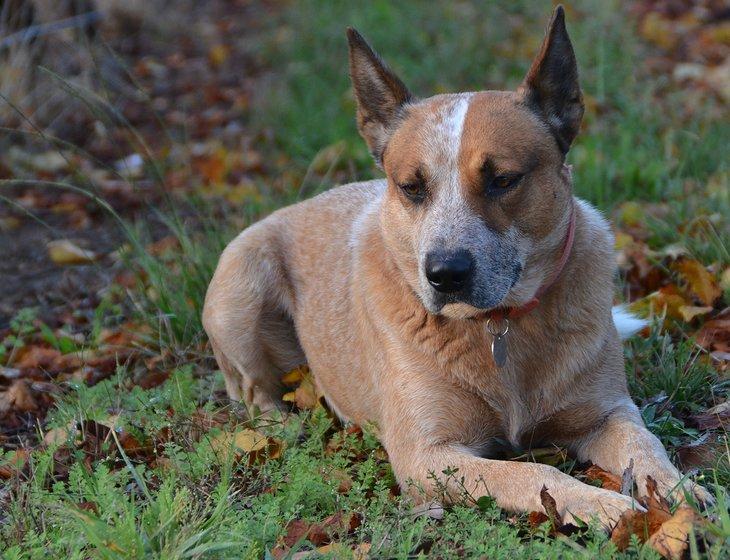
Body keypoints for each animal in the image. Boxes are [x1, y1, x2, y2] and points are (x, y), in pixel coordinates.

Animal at [202, 6, 708, 528]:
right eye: (411, 187)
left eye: (503, 180)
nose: (445, 274)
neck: (498, 329)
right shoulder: (428, 455)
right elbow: (535, 474)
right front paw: (605, 505)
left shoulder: (608, 413)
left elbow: (645, 444)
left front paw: (681, 492)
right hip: (239, 284)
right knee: (252, 393)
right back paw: (282, 427)